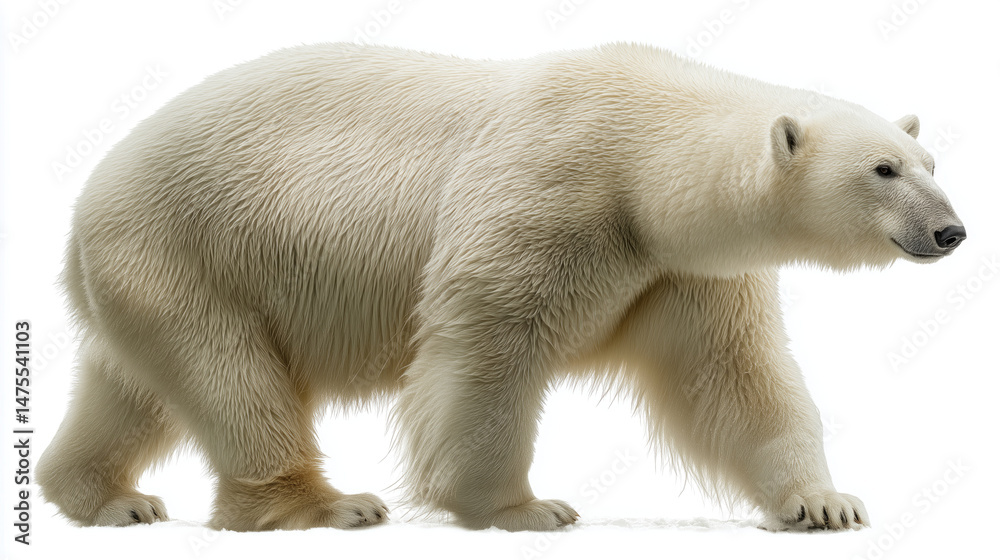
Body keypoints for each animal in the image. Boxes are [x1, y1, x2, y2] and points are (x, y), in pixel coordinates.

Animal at [37, 42, 965, 532]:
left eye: (929, 160)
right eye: (883, 170)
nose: (952, 231)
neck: (641, 153)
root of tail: (84, 202)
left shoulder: (680, 267)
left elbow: (734, 378)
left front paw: (824, 503)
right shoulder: (555, 189)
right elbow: (488, 343)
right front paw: (525, 508)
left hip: (153, 273)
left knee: (136, 385)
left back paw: (105, 496)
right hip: (189, 247)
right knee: (234, 382)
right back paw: (332, 507)